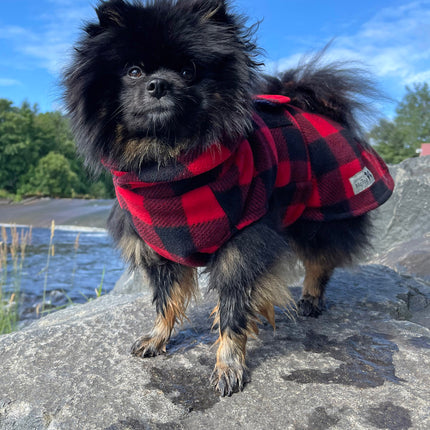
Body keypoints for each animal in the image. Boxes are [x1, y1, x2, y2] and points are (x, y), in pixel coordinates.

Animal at [62, 0, 394, 396]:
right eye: (133, 71)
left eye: (188, 71)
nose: (158, 84)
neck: (170, 168)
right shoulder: (156, 245)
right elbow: (166, 299)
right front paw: (158, 337)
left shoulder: (242, 244)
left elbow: (233, 310)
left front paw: (228, 365)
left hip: (321, 213)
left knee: (321, 259)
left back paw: (312, 299)